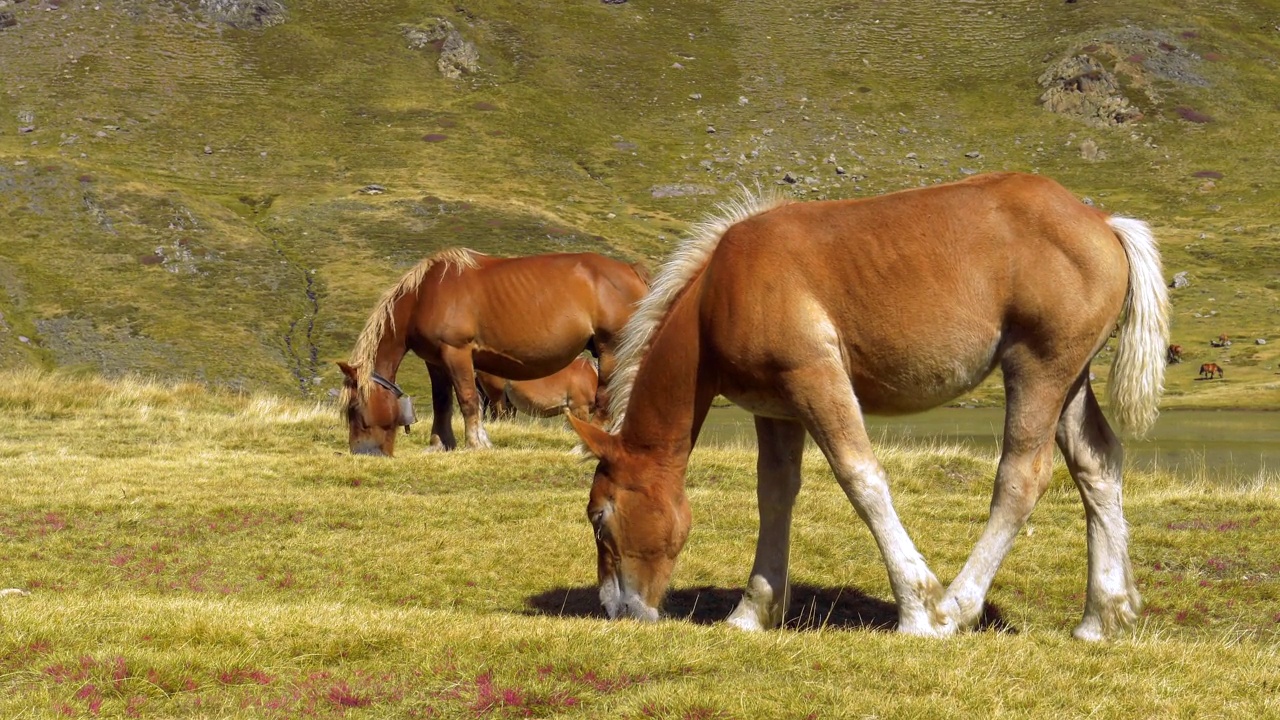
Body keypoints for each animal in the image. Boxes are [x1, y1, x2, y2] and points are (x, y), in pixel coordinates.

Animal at [337, 251, 650, 453]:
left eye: (354, 408)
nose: (361, 451)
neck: (422, 296)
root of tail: (631, 270)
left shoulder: (457, 353)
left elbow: (467, 400)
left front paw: (477, 443)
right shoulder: (435, 361)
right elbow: (442, 403)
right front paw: (440, 444)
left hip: (611, 350)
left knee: (606, 399)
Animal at [570, 172, 1172, 638]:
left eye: (600, 517)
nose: (617, 610)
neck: (722, 291)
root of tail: (1103, 222)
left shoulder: (815, 379)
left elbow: (861, 479)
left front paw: (917, 609)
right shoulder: (776, 409)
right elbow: (775, 495)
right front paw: (752, 611)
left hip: (1037, 370)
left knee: (1023, 478)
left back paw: (956, 607)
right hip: (1071, 381)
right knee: (1099, 467)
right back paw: (1102, 617)